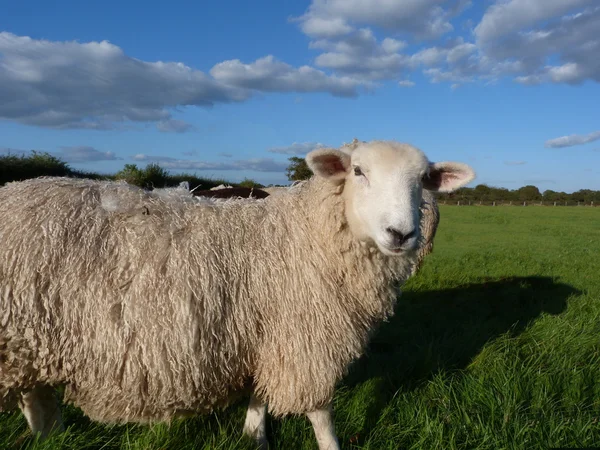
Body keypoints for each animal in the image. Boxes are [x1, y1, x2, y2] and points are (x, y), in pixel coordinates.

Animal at [1, 139, 478, 448]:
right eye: (359, 171)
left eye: (424, 180)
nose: (401, 233)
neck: (303, 234)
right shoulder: (305, 336)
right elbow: (321, 414)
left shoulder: (264, 331)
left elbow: (259, 392)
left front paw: (254, 434)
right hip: (17, 339)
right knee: (29, 394)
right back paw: (46, 434)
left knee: (33, 394)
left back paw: (48, 435)